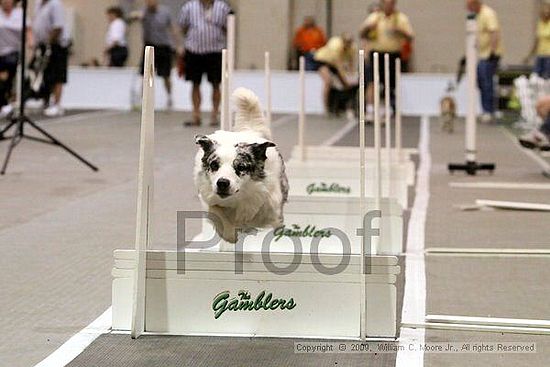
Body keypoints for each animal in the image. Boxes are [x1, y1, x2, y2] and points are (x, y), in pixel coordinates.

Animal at [194, 87, 288, 244]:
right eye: (214, 165)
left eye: (241, 167)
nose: (222, 183)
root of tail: (250, 131)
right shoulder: (209, 197)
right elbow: (218, 214)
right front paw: (230, 234)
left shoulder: (270, 209)